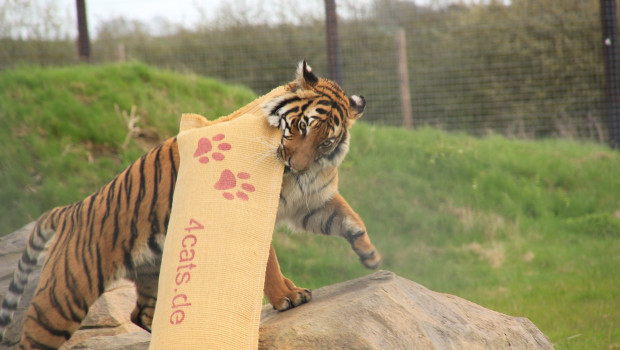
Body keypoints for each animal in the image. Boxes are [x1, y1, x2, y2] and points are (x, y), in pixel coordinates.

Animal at [0, 61, 378, 348]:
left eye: (326, 141)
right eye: (300, 125)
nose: (295, 166)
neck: (305, 176)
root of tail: (69, 210)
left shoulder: (311, 200)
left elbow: (347, 217)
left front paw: (370, 255)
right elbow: (269, 264)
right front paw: (287, 297)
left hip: (154, 270)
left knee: (143, 313)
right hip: (64, 298)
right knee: (35, 337)